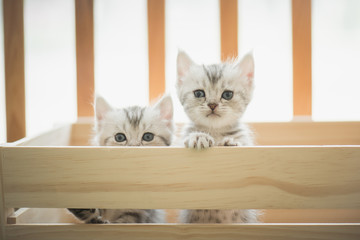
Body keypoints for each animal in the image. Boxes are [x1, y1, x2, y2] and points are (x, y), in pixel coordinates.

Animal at [175, 50, 258, 223]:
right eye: (199, 93)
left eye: (227, 94)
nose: (212, 104)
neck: (215, 132)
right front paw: (199, 137)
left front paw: (231, 142)